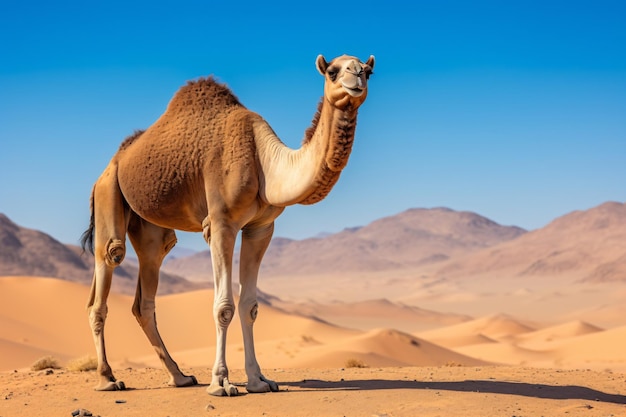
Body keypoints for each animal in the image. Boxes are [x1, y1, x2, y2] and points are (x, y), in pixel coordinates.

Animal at [80, 53, 372, 394]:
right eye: (333, 71)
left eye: (368, 70)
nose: (356, 77)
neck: (263, 161)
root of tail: (112, 163)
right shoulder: (221, 223)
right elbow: (224, 307)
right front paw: (221, 382)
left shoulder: (260, 228)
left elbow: (250, 306)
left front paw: (259, 380)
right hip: (108, 194)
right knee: (108, 264)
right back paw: (108, 378)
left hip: (149, 226)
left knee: (147, 289)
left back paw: (180, 376)